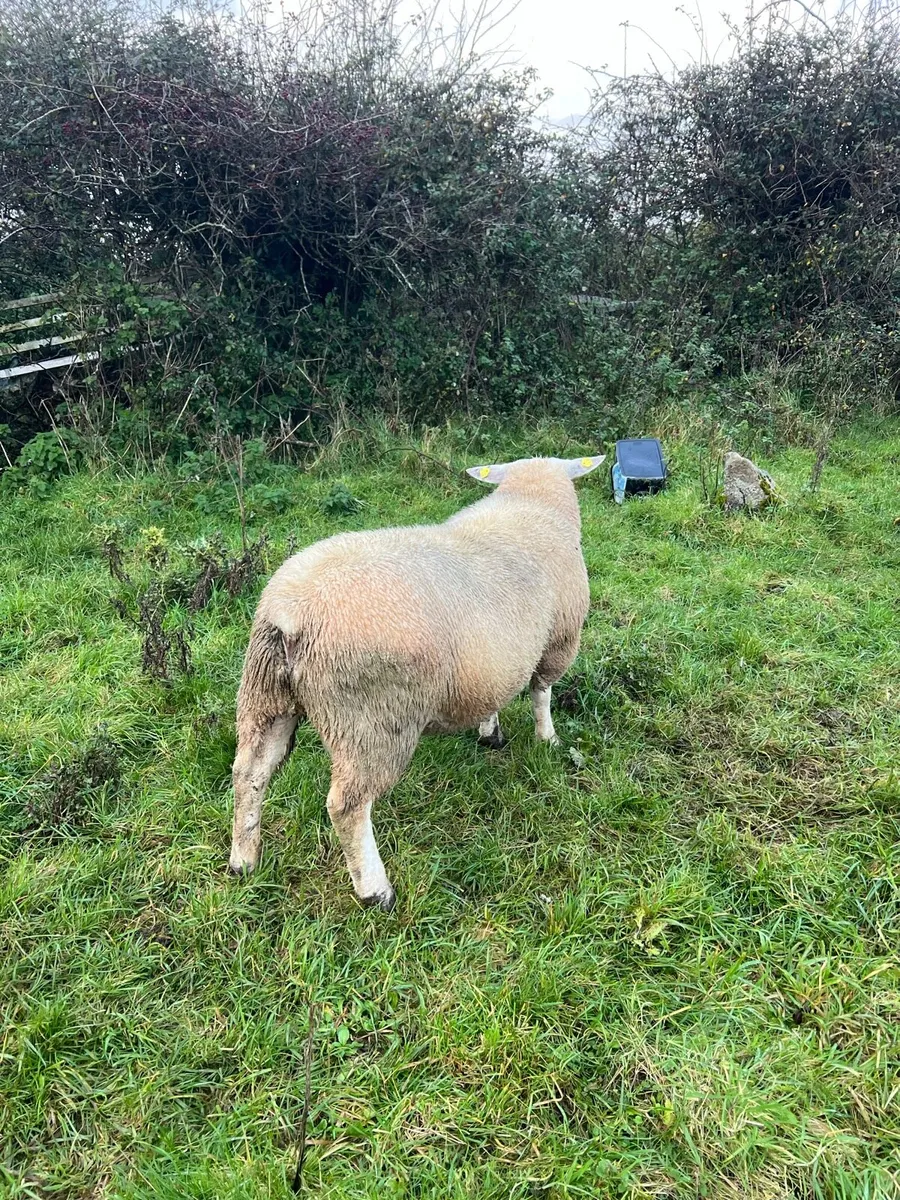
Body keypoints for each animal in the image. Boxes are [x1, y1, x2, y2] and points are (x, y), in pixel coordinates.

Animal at [229, 453, 605, 910]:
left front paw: (491, 732)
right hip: (372, 719)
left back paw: (244, 860)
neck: (530, 500)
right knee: (346, 806)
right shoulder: (559, 640)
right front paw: (547, 739)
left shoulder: (495, 657)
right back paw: (376, 891)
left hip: (265, 694)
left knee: (250, 772)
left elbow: (495, 695)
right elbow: (542, 693)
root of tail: (291, 611)